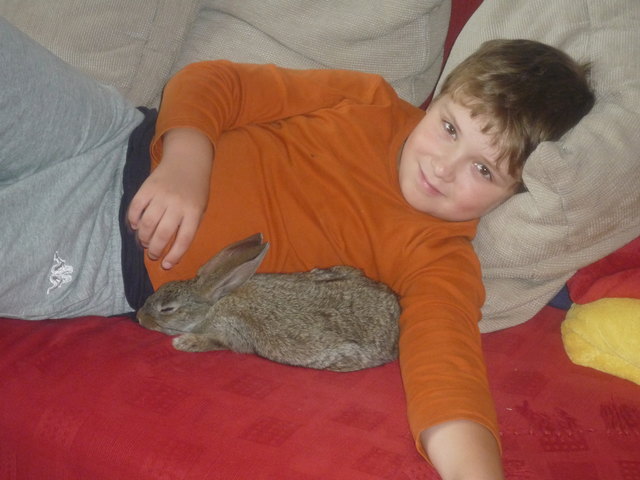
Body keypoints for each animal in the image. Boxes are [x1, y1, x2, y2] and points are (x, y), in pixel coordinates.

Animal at [137, 233, 400, 372]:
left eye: (167, 309)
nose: (139, 316)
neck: (214, 305)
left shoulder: (232, 333)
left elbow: (217, 343)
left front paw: (183, 343)